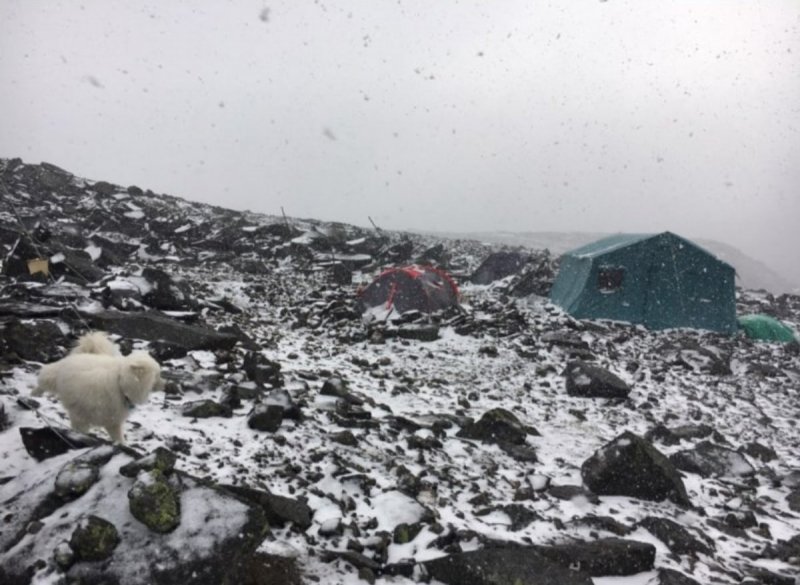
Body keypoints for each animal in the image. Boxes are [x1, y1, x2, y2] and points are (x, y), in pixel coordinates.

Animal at [33, 330, 161, 440]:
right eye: (157, 374)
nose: (165, 385)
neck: (120, 383)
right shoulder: (80, 413)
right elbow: (80, 428)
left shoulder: (112, 420)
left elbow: (118, 437)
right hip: (53, 376)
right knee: (43, 380)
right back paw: (34, 394)